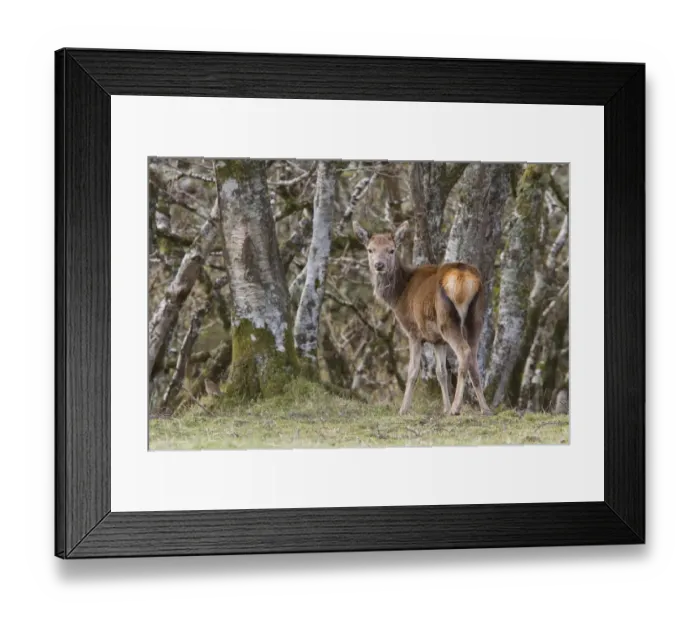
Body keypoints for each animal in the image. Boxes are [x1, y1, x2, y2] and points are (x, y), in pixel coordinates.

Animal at [353, 220, 492, 417]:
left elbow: (412, 370)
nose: (379, 265)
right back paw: (484, 408)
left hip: (448, 320)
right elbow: (441, 373)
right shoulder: (437, 340)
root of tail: (463, 277)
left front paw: (403, 409)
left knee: (464, 352)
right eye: (370, 249)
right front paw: (444, 408)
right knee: (473, 358)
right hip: (476, 317)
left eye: (391, 250)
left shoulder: (413, 331)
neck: (399, 296)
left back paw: (456, 408)